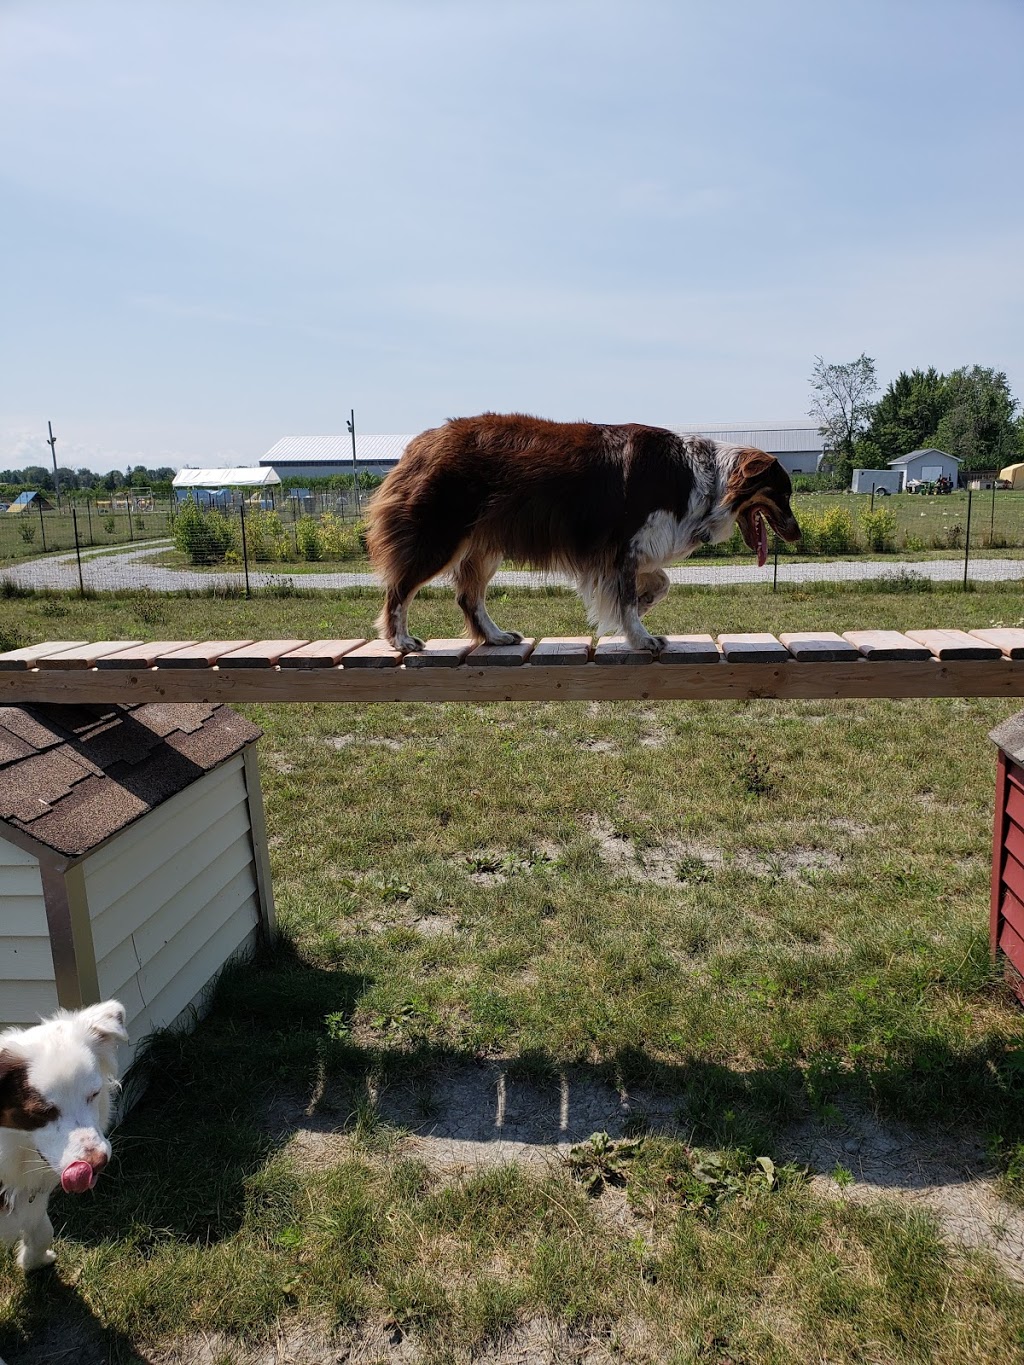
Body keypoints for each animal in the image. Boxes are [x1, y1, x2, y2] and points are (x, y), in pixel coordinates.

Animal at [365, 412, 802, 652]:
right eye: (783, 493)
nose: (798, 535)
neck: (706, 477)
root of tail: (422, 442)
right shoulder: (624, 546)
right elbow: (627, 598)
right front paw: (641, 636)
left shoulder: (637, 550)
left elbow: (659, 584)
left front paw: (642, 607)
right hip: (440, 539)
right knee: (399, 590)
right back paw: (401, 640)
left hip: (483, 547)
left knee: (468, 597)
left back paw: (496, 637)